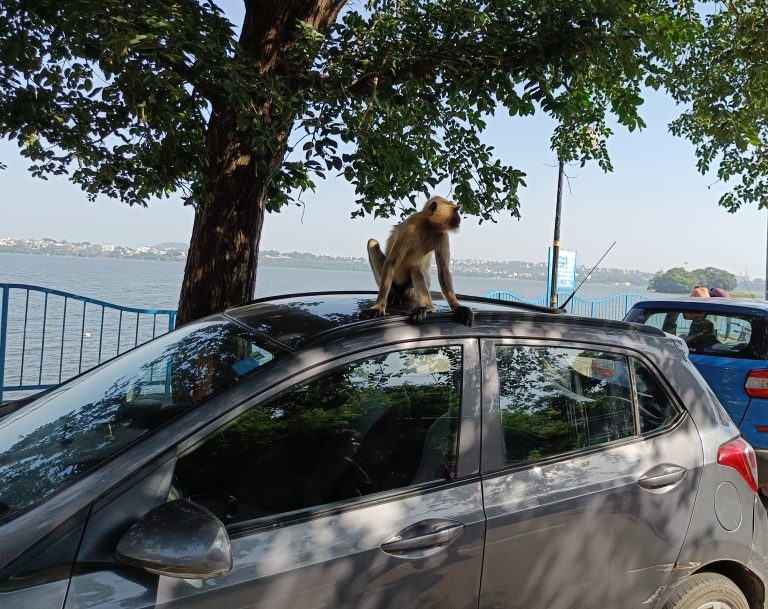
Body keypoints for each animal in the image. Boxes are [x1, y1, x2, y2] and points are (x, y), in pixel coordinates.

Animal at [360, 197, 474, 326]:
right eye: (455, 211)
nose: (459, 218)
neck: (429, 225)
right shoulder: (410, 227)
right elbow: (391, 261)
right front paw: (378, 306)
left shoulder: (442, 234)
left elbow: (443, 271)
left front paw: (458, 307)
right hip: (395, 285)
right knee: (372, 243)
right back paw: (394, 296)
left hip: (411, 292)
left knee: (415, 269)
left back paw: (426, 308)